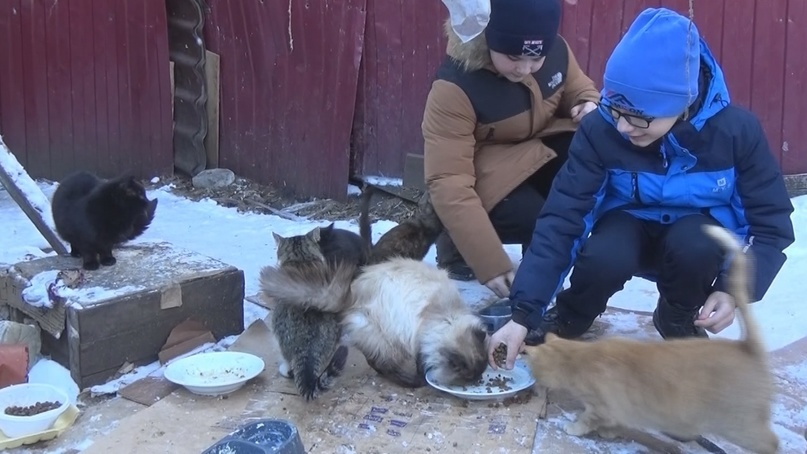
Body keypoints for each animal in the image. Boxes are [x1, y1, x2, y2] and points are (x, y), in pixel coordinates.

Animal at [528, 225, 780, 452]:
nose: (536, 390)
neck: (579, 358)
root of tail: (746, 347)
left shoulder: (602, 406)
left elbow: (588, 419)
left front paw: (575, 428)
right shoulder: (618, 410)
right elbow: (615, 422)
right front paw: (609, 432)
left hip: (738, 423)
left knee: (771, 442)